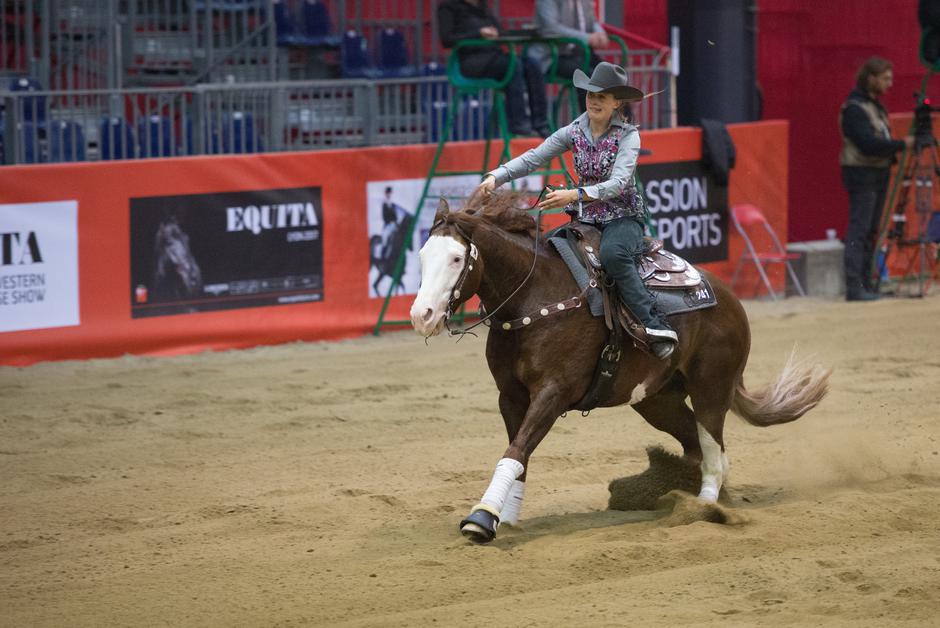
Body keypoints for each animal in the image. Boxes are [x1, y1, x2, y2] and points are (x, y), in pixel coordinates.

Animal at [412, 193, 828, 544]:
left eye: (456, 258)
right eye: (422, 256)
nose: (421, 315)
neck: (536, 298)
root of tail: (728, 297)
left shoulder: (553, 393)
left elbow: (516, 451)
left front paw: (481, 519)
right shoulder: (510, 397)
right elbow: (519, 456)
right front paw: (508, 519)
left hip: (712, 386)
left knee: (712, 445)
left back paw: (705, 507)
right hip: (657, 400)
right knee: (697, 443)